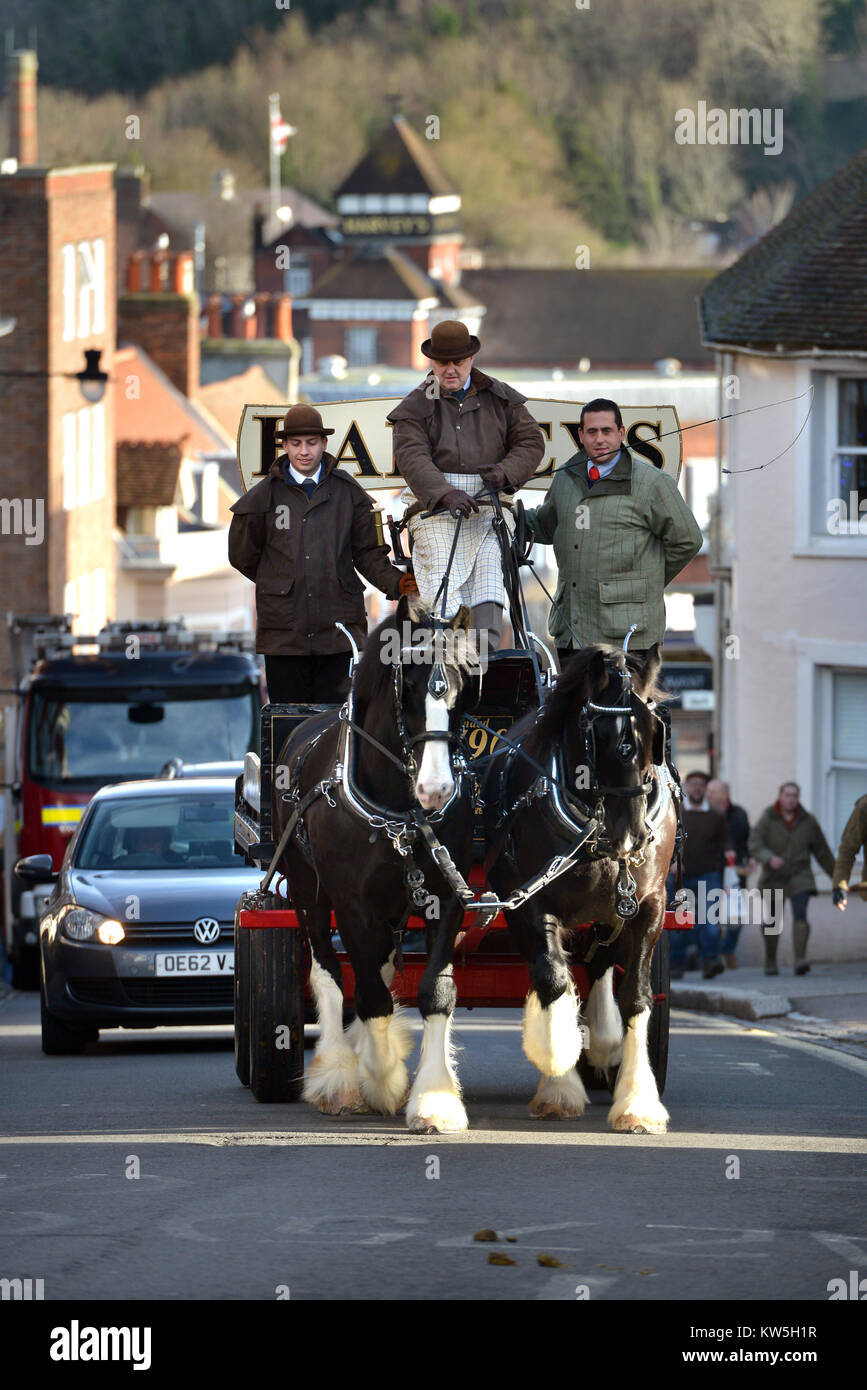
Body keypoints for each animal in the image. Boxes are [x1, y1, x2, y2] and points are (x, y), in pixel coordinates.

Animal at [270, 594, 477, 1128]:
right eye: (409, 685)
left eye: (465, 685)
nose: (436, 789)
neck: (401, 812)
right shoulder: (353, 905)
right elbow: (368, 995)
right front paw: (382, 1080)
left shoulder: (447, 896)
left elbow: (433, 991)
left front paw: (434, 1100)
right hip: (307, 891)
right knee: (328, 973)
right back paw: (340, 1075)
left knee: (379, 967)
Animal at [480, 644, 678, 1134]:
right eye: (596, 732)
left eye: (654, 732)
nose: (632, 837)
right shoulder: (526, 902)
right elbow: (554, 980)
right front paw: (558, 1084)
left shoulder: (647, 905)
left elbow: (636, 995)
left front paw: (637, 1102)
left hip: (607, 914)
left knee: (601, 965)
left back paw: (606, 1044)